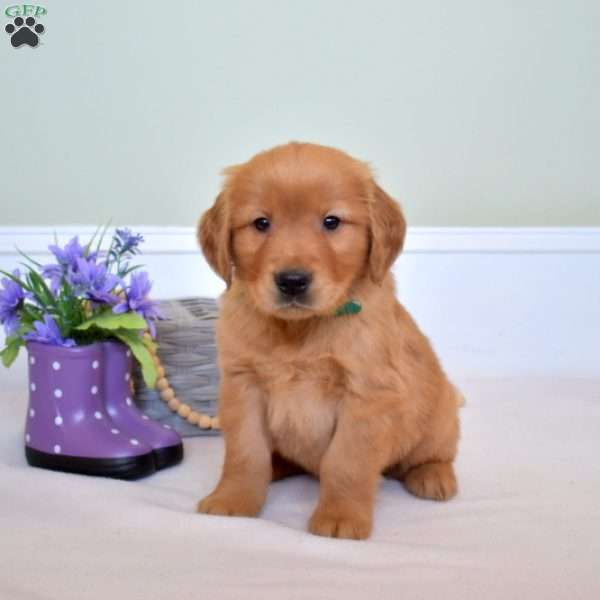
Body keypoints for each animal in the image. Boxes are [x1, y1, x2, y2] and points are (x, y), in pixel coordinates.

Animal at [197, 144, 460, 540]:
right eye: (261, 223)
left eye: (332, 222)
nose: (292, 281)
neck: (299, 330)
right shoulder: (243, 384)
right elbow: (245, 453)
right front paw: (232, 499)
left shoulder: (366, 394)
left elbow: (346, 463)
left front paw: (341, 517)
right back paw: (277, 465)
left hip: (440, 414)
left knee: (433, 453)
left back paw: (432, 475)